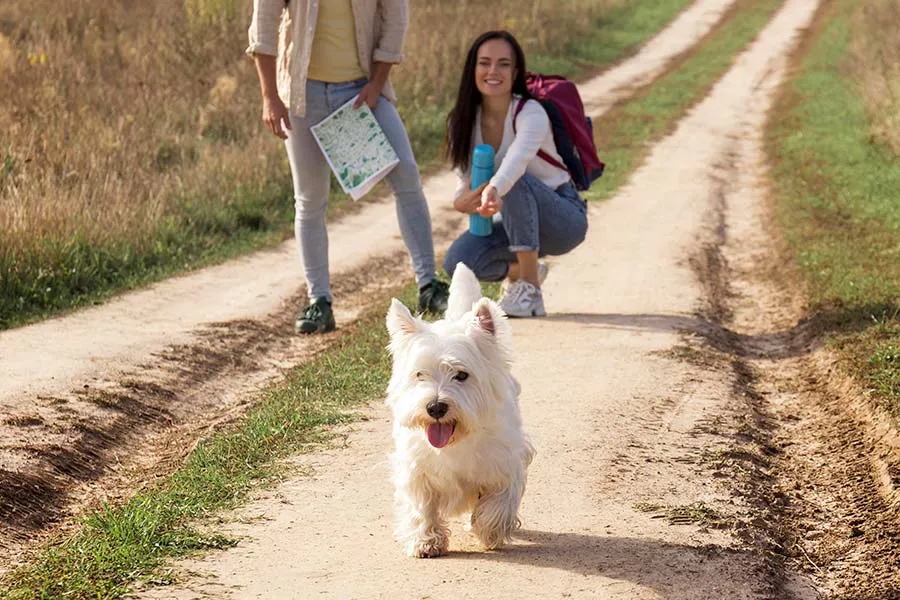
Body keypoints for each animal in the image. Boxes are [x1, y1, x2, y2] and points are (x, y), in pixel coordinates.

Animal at [384, 262, 536, 556]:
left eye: (462, 375)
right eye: (419, 374)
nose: (435, 407)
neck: (456, 441)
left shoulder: (506, 461)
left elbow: (499, 501)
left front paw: (489, 531)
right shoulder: (416, 468)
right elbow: (422, 507)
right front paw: (426, 541)